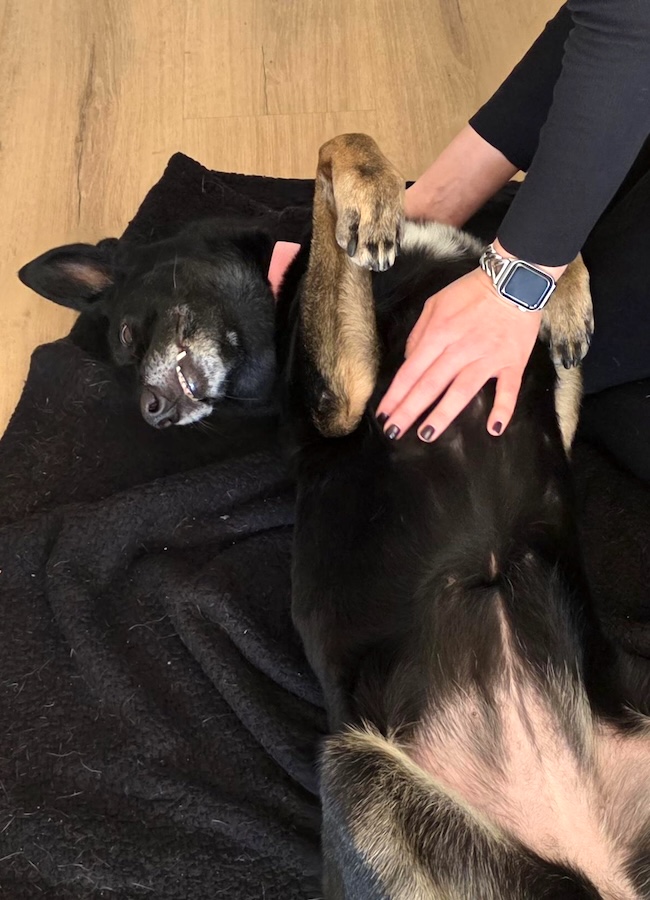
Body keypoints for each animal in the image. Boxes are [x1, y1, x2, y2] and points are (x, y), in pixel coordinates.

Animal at [20, 135, 650, 898]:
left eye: (127, 331)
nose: (153, 411)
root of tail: (590, 860)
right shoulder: (341, 396)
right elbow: (338, 148)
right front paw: (369, 199)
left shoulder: (543, 397)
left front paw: (565, 296)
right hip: (357, 770)